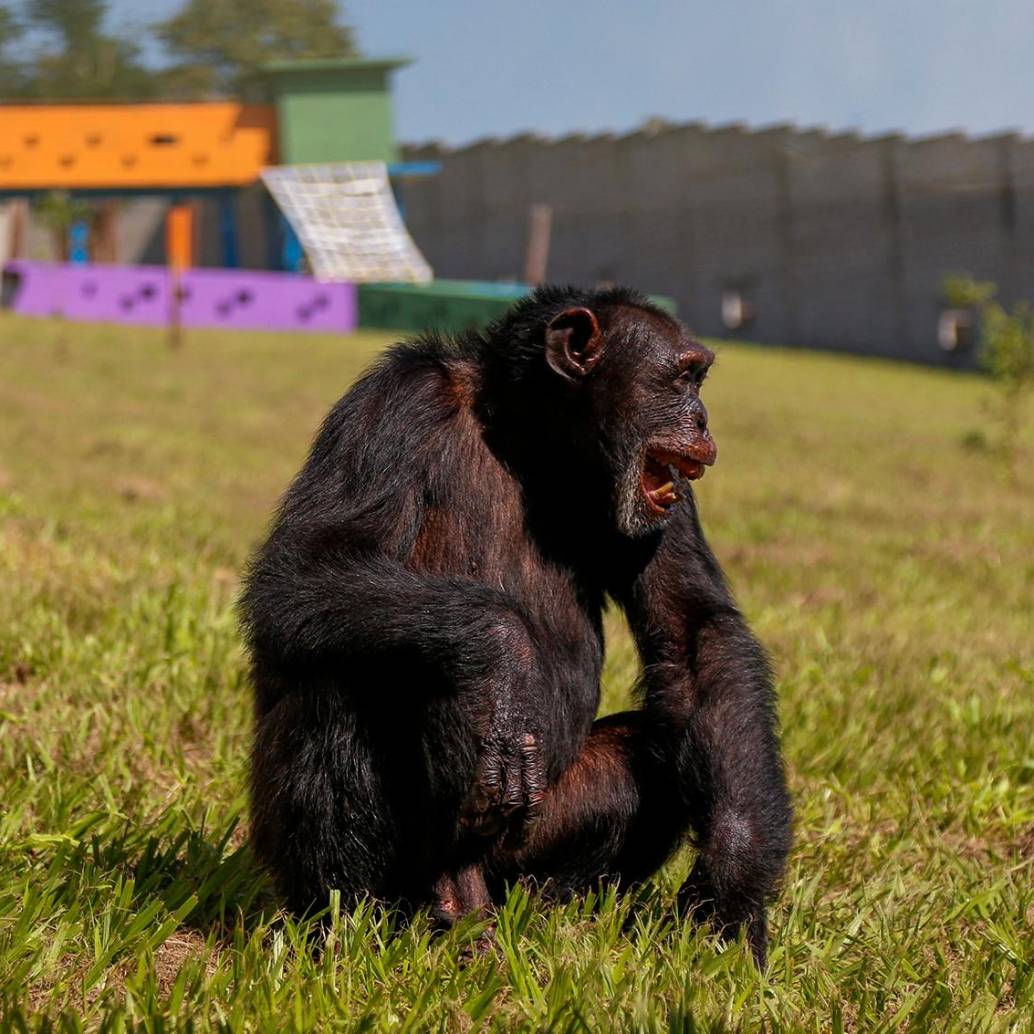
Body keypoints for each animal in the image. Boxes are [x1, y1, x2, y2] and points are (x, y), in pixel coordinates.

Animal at [241, 285, 789, 967]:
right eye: (682, 377)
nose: (703, 420)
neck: (528, 441)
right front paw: (503, 662)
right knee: (341, 676)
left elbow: (694, 630)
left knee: (653, 750)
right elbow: (304, 566)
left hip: (522, 844)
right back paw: (340, 934)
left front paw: (732, 895)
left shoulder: (667, 490)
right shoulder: (394, 402)